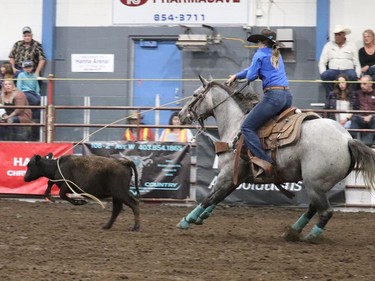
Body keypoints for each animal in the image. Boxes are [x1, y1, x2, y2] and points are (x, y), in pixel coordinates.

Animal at [176, 75, 375, 242]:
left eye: (195, 95)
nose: (181, 114)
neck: (236, 126)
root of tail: (347, 139)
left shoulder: (227, 175)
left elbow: (209, 197)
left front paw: (187, 220)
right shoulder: (236, 178)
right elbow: (217, 198)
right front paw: (201, 216)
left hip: (315, 183)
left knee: (325, 211)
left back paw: (311, 236)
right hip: (320, 185)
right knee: (314, 207)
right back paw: (292, 231)